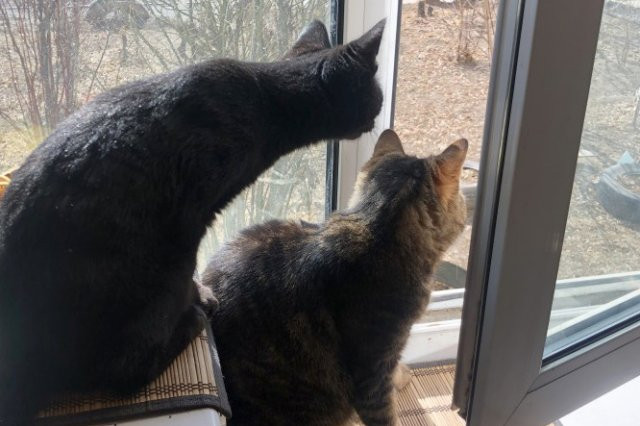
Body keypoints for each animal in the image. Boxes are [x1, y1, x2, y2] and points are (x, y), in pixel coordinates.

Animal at [0, 19, 385, 424]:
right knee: (125, 372)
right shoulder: (195, 215)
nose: (378, 113)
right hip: (163, 267)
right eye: (376, 94)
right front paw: (200, 296)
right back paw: (193, 318)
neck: (267, 99)